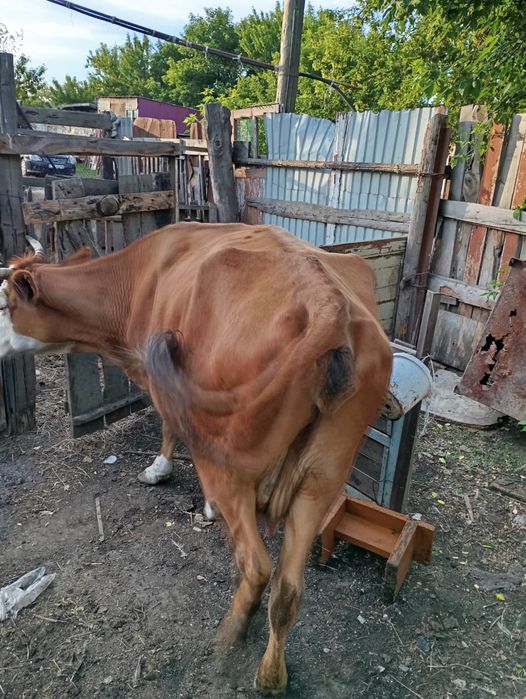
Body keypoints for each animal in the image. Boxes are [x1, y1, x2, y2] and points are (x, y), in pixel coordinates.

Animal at [0, 222, 392, 694]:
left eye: (4, 302)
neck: (139, 280)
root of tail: (327, 302)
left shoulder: (163, 384)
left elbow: (169, 426)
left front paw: (161, 471)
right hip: (322, 477)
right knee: (288, 588)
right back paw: (271, 675)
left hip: (230, 464)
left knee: (256, 566)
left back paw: (229, 636)